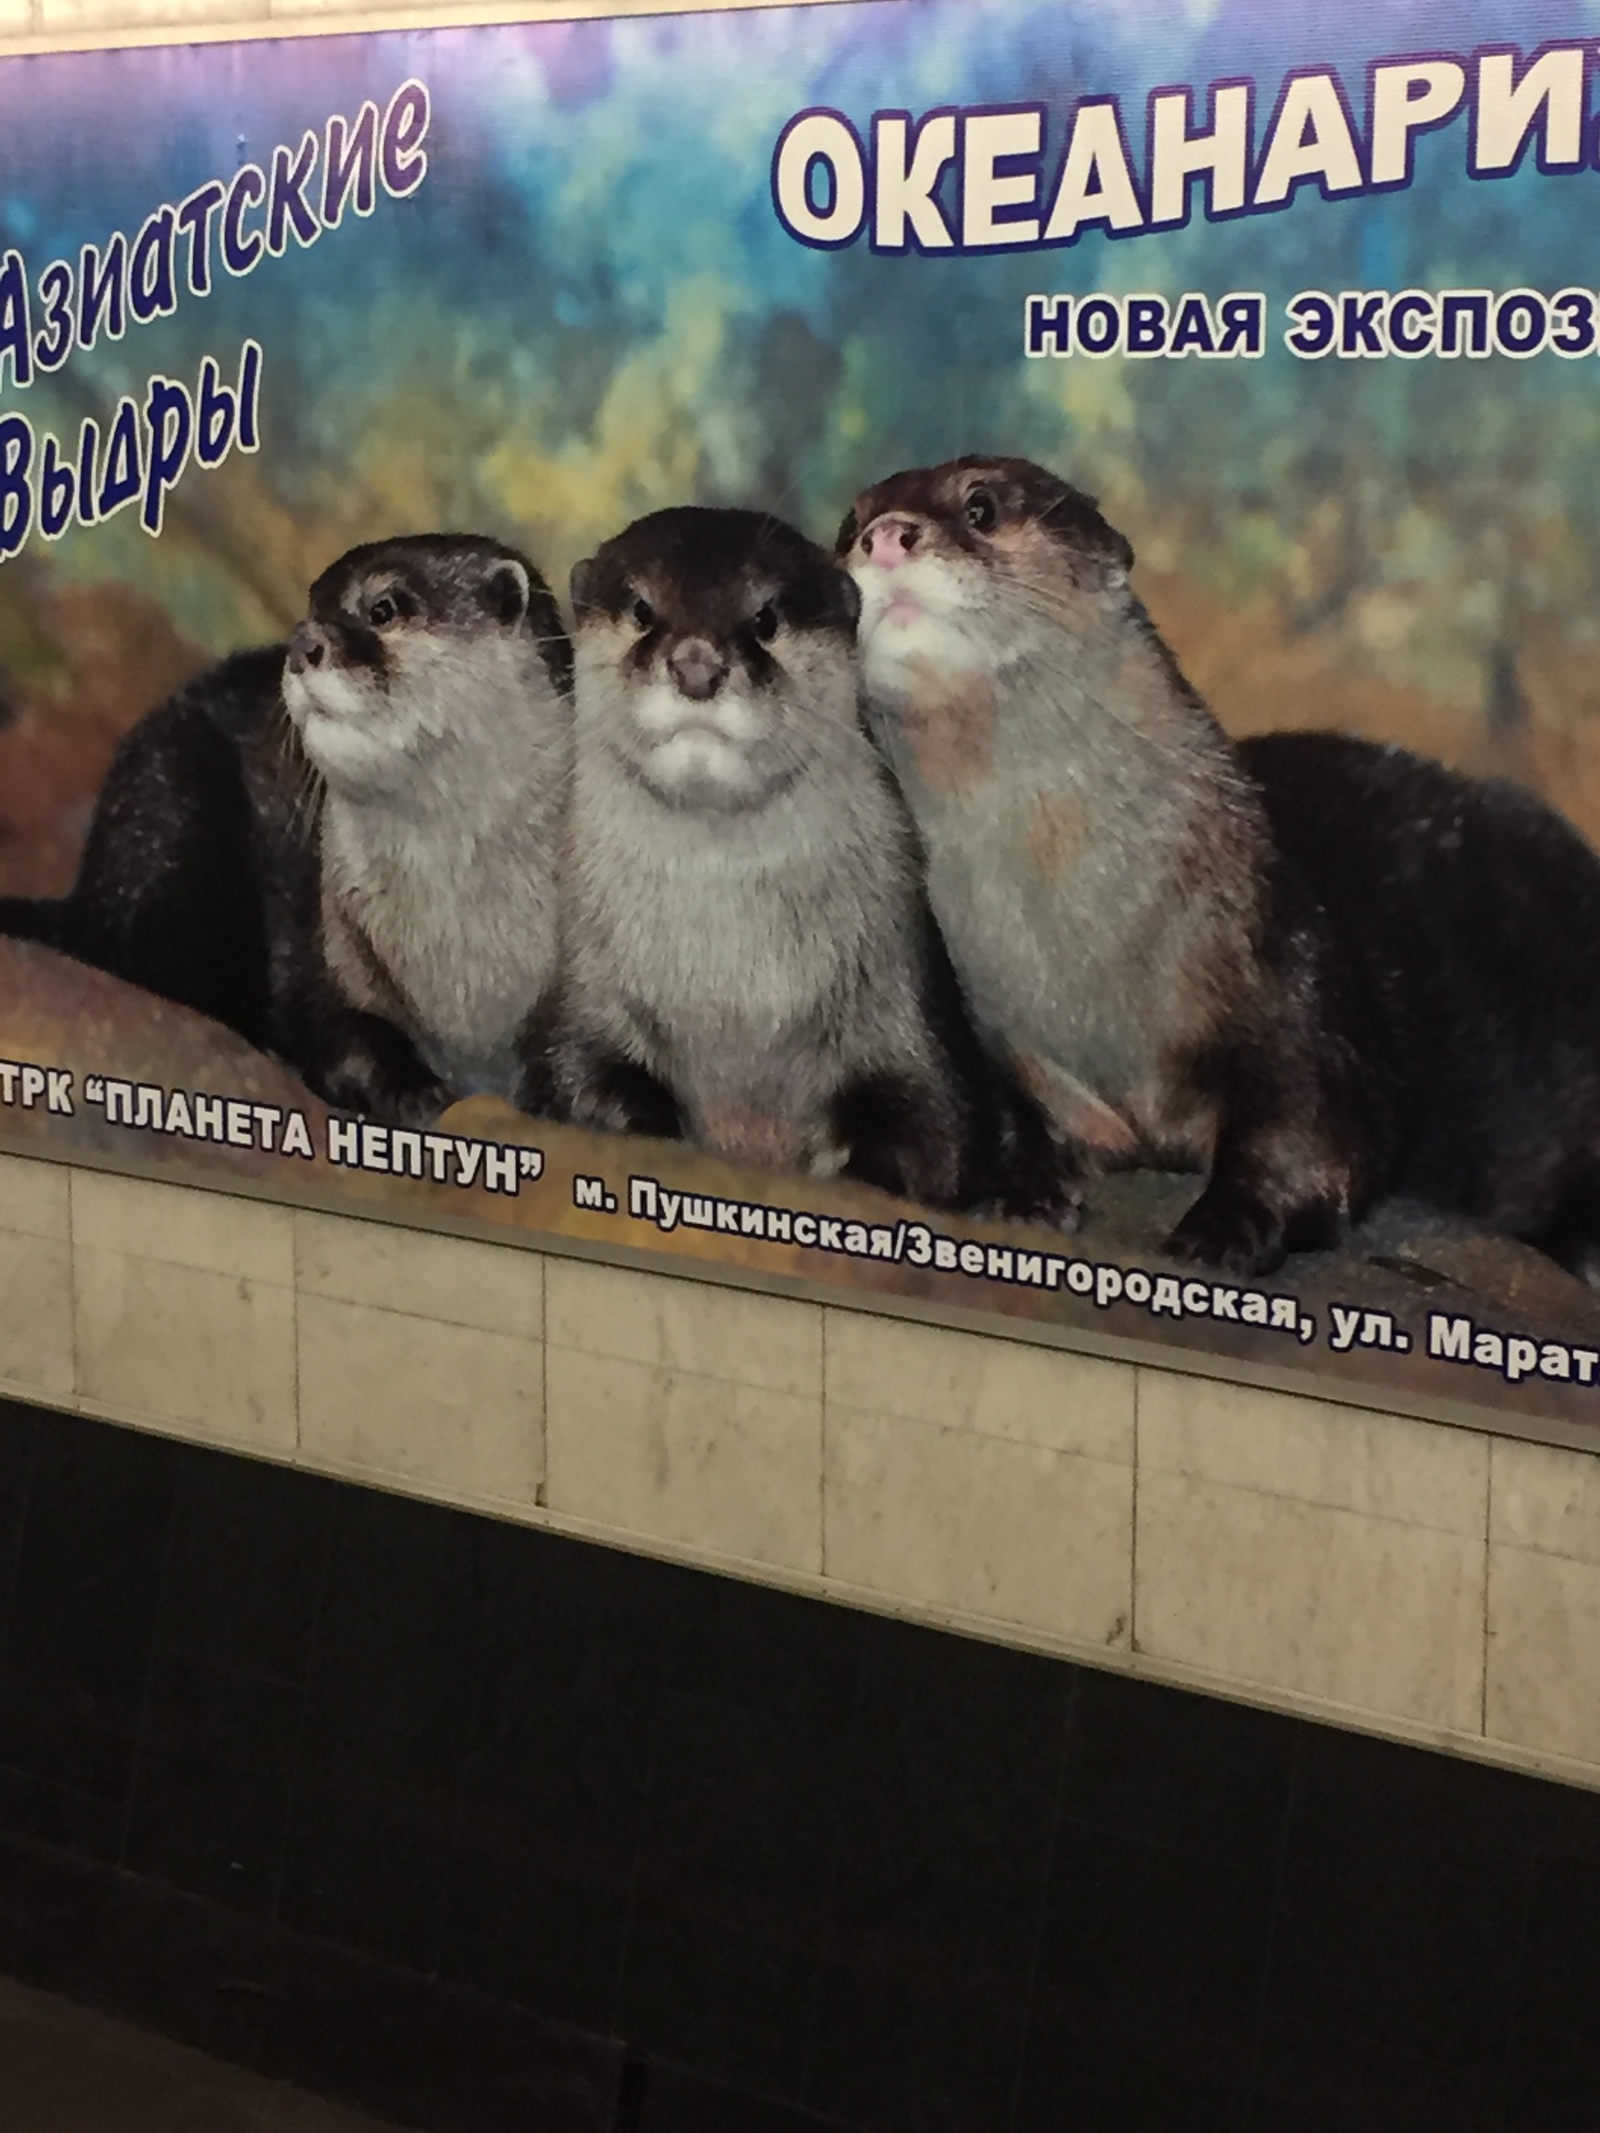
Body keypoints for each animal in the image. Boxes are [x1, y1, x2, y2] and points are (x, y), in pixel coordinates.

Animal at [0, 533, 576, 1126]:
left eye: (384, 608)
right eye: (311, 606)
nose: (304, 643)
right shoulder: (328, 944)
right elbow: (334, 1028)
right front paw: (411, 1091)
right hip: (164, 806)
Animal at [550, 496, 1079, 1220]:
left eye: (766, 618)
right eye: (641, 609)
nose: (696, 666)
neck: (736, 1006)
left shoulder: (901, 1002)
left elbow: (935, 1132)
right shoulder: (589, 997)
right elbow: (583, 1086)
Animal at [832, 458, 1373, 1262]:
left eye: (981, 505)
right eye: (849, 523)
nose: (886, 536)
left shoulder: (1283, 972)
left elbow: (1302, 1134)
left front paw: (1222, 1226)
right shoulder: (985, 1026)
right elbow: (999, 1116)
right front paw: (1026, 1191)